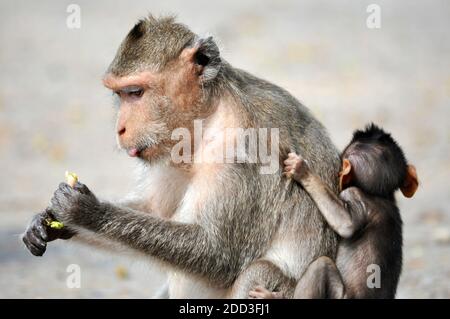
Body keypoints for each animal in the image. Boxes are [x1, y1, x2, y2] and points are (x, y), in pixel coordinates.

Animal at [20, 15, 338, 300]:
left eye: (135, 92)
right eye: (120, 95)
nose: (120, 129)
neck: (209, 115)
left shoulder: (241, 152)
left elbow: (219, 255)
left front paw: (88, 212)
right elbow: (156, 210)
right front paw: (46, 221)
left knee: (258, 271)